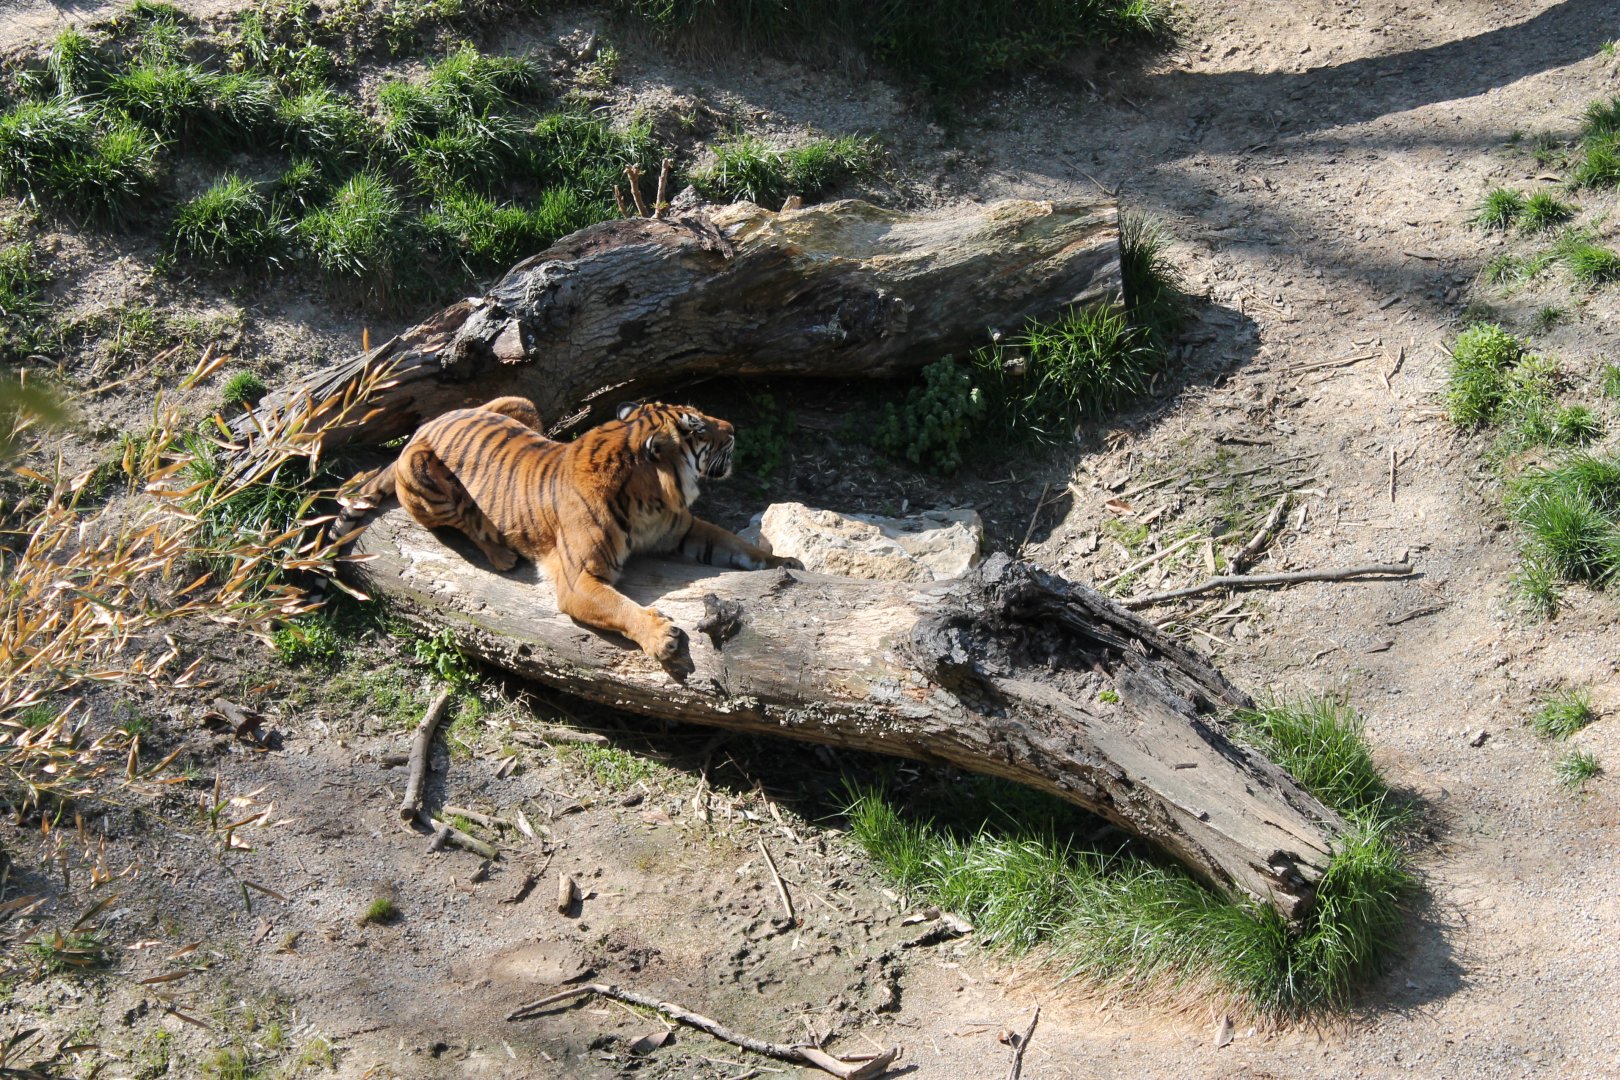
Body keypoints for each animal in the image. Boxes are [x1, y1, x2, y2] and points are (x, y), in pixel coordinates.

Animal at [340, 396, 795, 661]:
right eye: (697, 428)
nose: (732, 429)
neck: (652, 499)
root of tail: (424, 425)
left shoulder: (682, 528)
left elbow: (734, 543)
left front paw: (783, 562)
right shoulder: (580, 580)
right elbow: (620, 607)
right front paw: (660, 636)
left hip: (518, 403)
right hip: (419, 469)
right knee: (462, 520)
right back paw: (502, 554)